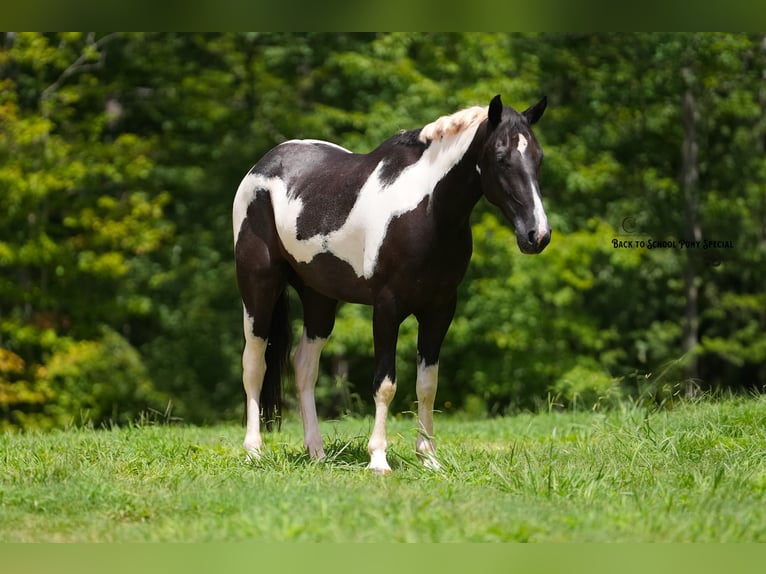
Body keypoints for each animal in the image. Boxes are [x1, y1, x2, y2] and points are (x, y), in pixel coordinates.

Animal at [233, 94, 550, 474]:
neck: (427, 211)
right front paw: (378, 459)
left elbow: (427, 384)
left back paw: (317, 452)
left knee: (304, 366)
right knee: (254, 364)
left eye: (538, 158)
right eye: (502, 158)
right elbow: (385, 384)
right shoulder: (387, 308)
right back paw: (253, 451)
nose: (537, 235)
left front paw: (428, 458)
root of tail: (263, 166)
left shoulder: (440, 309)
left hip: (319, 299)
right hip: (258, 290)